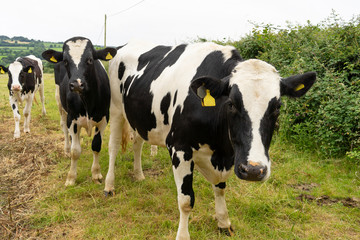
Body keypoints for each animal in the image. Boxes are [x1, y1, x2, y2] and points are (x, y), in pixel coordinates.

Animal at [41, 37, 116, 186]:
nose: (76, 84)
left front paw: (96, 174)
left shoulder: (104, 118)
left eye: (90, 60)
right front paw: (71, 177)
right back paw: (66, 149)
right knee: (64, 128)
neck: (87, 102)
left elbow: (96, 145)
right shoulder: (73, 119)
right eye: (65, 61)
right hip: (60, 104)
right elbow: (75, 151)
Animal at [104, 40, 316, 239]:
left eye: (277, 107)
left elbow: (220, 188)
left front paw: (223, 223)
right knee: (113, 147)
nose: (254, 170)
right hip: (115, 109)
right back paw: (108, 186)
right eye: (231, 104)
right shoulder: (179, 148)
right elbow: (186, 200)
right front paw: (183, 236)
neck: (221, 150)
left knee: (137, 143)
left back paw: (139, 175)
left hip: (139, 118)